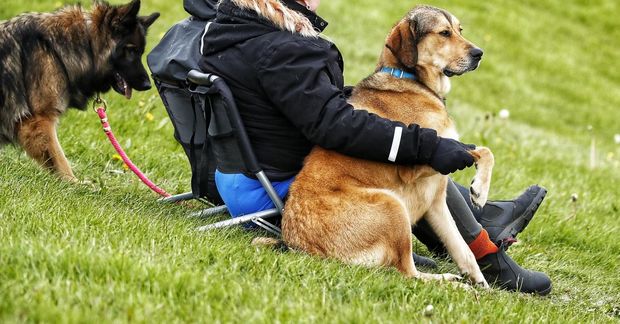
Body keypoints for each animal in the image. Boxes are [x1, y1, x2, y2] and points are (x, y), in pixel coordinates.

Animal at [0, 0, 157, 181]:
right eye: (131, 50)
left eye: (140, 52)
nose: (148, 85)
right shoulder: (39, 120)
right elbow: (59, 159)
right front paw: (72, 182)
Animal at [282, 5, 494, 286]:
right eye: (444, 33)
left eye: (459, 30)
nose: (479, 54)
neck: (411, 80)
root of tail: (301, 246)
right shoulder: (424, 162)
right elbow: (479, 151)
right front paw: (480, 190)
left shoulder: (437, 201)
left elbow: (463, 249)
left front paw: (482, 285)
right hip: (393, 205)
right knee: (408, 272)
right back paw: (450, 282)